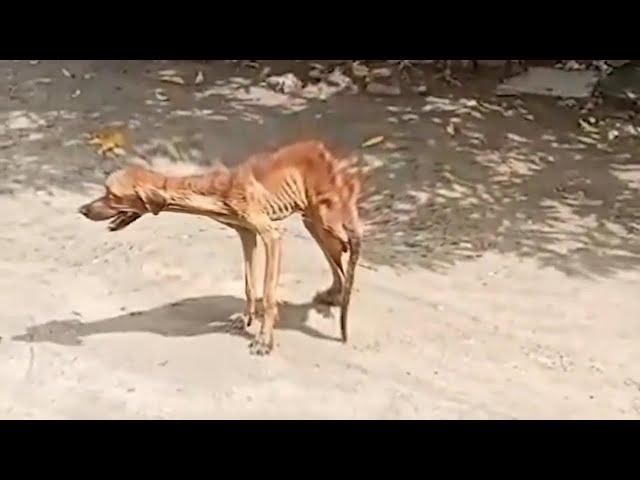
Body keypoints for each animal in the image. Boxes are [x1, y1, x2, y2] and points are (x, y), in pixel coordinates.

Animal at [77, 141, 362, 354]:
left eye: (111, 195)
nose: (82, 210)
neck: (212, 191)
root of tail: (325, 151)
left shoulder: (271, 236)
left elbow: (268, 295)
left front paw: (264, 339)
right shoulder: (246, 233)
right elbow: (249, 285)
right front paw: (246, 319)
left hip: (326, 219)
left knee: (351, 244)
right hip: (313, 222)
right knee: (340, 264)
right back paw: (334, 295)